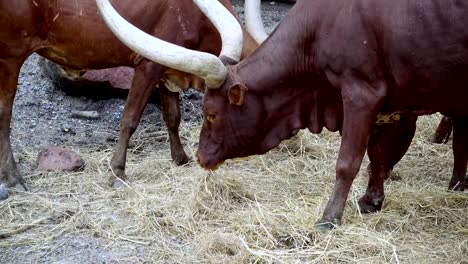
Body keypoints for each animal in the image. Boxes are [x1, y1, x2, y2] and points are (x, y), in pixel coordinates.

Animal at [0, 0, 258, 198]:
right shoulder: (148, 65)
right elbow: (130, 119)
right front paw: (118, 173)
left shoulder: (168, 69)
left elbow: (172, 116)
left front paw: (180, 158)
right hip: (10, 56)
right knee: (4, 116)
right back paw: (14, 178)